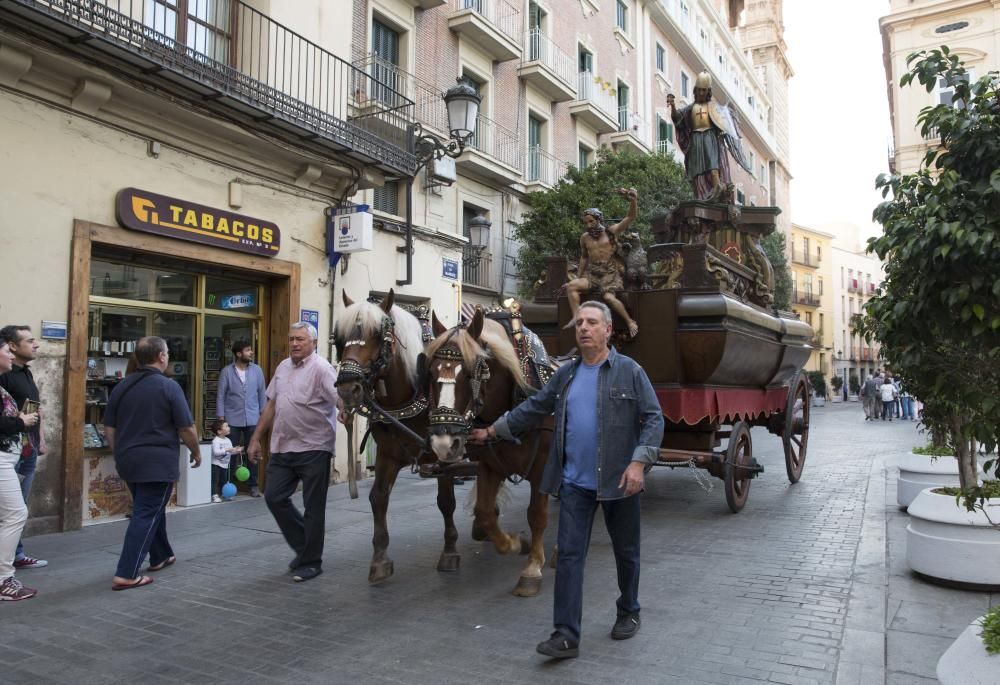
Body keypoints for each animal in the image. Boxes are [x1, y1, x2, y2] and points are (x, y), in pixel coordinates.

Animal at [334, 288, 462, 584]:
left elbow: (446, 502)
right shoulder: (387, 454)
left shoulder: (444, 455)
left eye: (377, 336)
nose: (347, 389)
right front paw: (380, 559)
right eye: (340, 339)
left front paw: (450, 551)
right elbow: (378, 498)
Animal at [424, 308, 556, 596]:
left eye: (470, 373)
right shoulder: (489, 465)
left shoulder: (543, 467)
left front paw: (532, 568)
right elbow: (485, 513)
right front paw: (517, 544)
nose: (444, 443)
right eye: (430, 372)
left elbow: (537, 515)